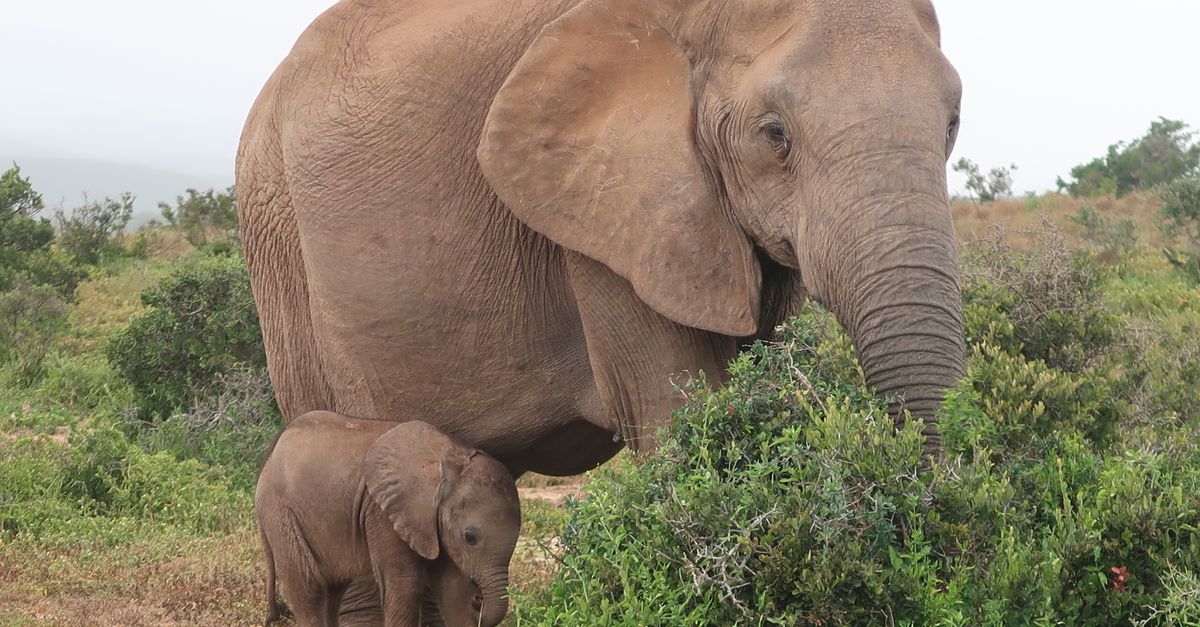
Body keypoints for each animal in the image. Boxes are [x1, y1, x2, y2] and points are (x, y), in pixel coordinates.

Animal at [255, 413, 521, 627]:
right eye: (470, 537)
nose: (478, 601)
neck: (448, 458)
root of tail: (268, 458)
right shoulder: (382, 512)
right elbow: (404, 583)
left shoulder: (430, 522)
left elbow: (451, 586)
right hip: (280, 513)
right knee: (309, 587)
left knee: (333, 591)